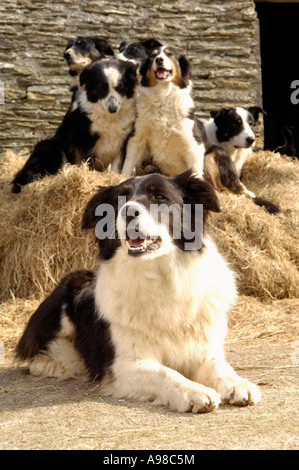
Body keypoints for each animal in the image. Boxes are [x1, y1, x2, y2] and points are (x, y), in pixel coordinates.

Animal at [11, 59, 138, 193]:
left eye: (120, 87)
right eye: (101, 87)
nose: (113, 109)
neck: (110, 118)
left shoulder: (121, 142)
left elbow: (115, 168)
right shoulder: (82, 141)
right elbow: (87, 164)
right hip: (51, 148)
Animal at [15, 171, 262, 414]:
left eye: (160, 196)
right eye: (119, 200)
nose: (128, 211)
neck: (160, 277)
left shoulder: (203, 351)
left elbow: (221, 367)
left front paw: (238, 383)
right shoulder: (125, 364)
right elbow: (167, 373)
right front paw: (193, 392)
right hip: (66, 301)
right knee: (37, 355)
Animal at [122, 46, 209, 178]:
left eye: (170, 54)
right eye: (152, 56)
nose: (159, 59)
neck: (163, 96)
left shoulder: (193, 144)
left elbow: (195, 172)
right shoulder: (137, 137)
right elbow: (127, 164)